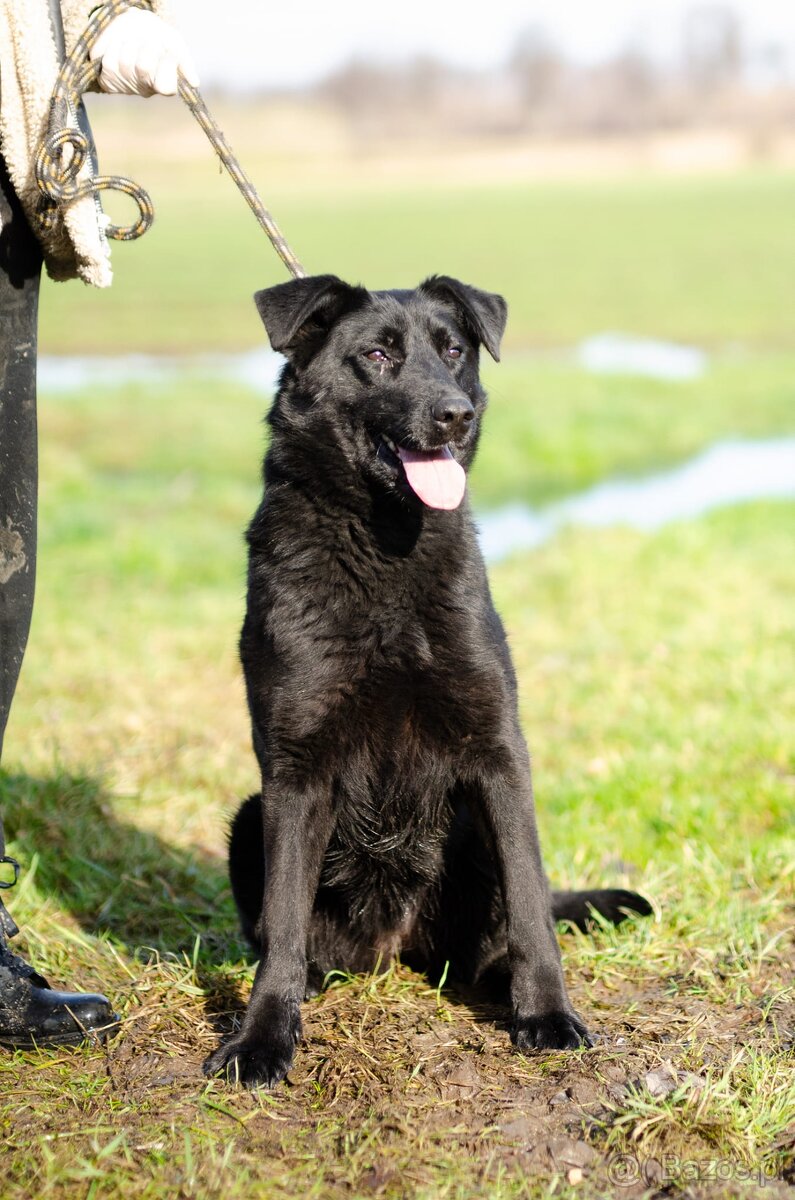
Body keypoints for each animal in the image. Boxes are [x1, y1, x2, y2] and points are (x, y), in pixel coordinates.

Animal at [204, 274, 648, 1089]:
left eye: (452, 351)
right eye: (377, 354)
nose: (454, 414)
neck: (386, 546)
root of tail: (397, 949)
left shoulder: (498, 755)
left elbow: (532, 906)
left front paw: (546, 1015)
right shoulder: (294, 770)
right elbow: (281, 924)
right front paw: (261, 1037)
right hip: (253, 816)